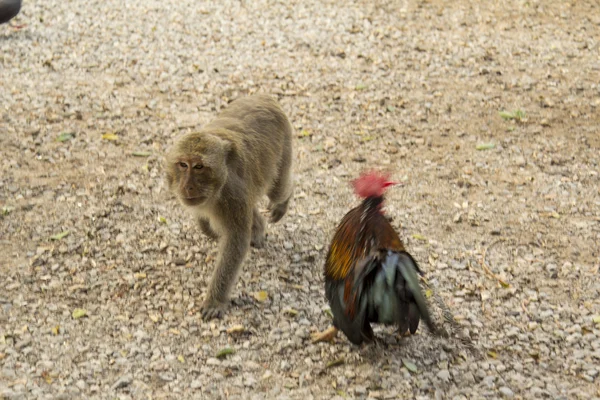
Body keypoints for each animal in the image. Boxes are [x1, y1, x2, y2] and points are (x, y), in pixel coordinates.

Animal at [164, 94, 296, 318]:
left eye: (199, 167)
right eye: (183, 165)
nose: (187, 186)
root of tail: (263, 97)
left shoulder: (233, 194)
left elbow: (235, 240)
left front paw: (215, 301)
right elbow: (207, 221)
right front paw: (207, 226)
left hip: (284, 142)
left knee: (277, 189)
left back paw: (283, 201)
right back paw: (257, 227)